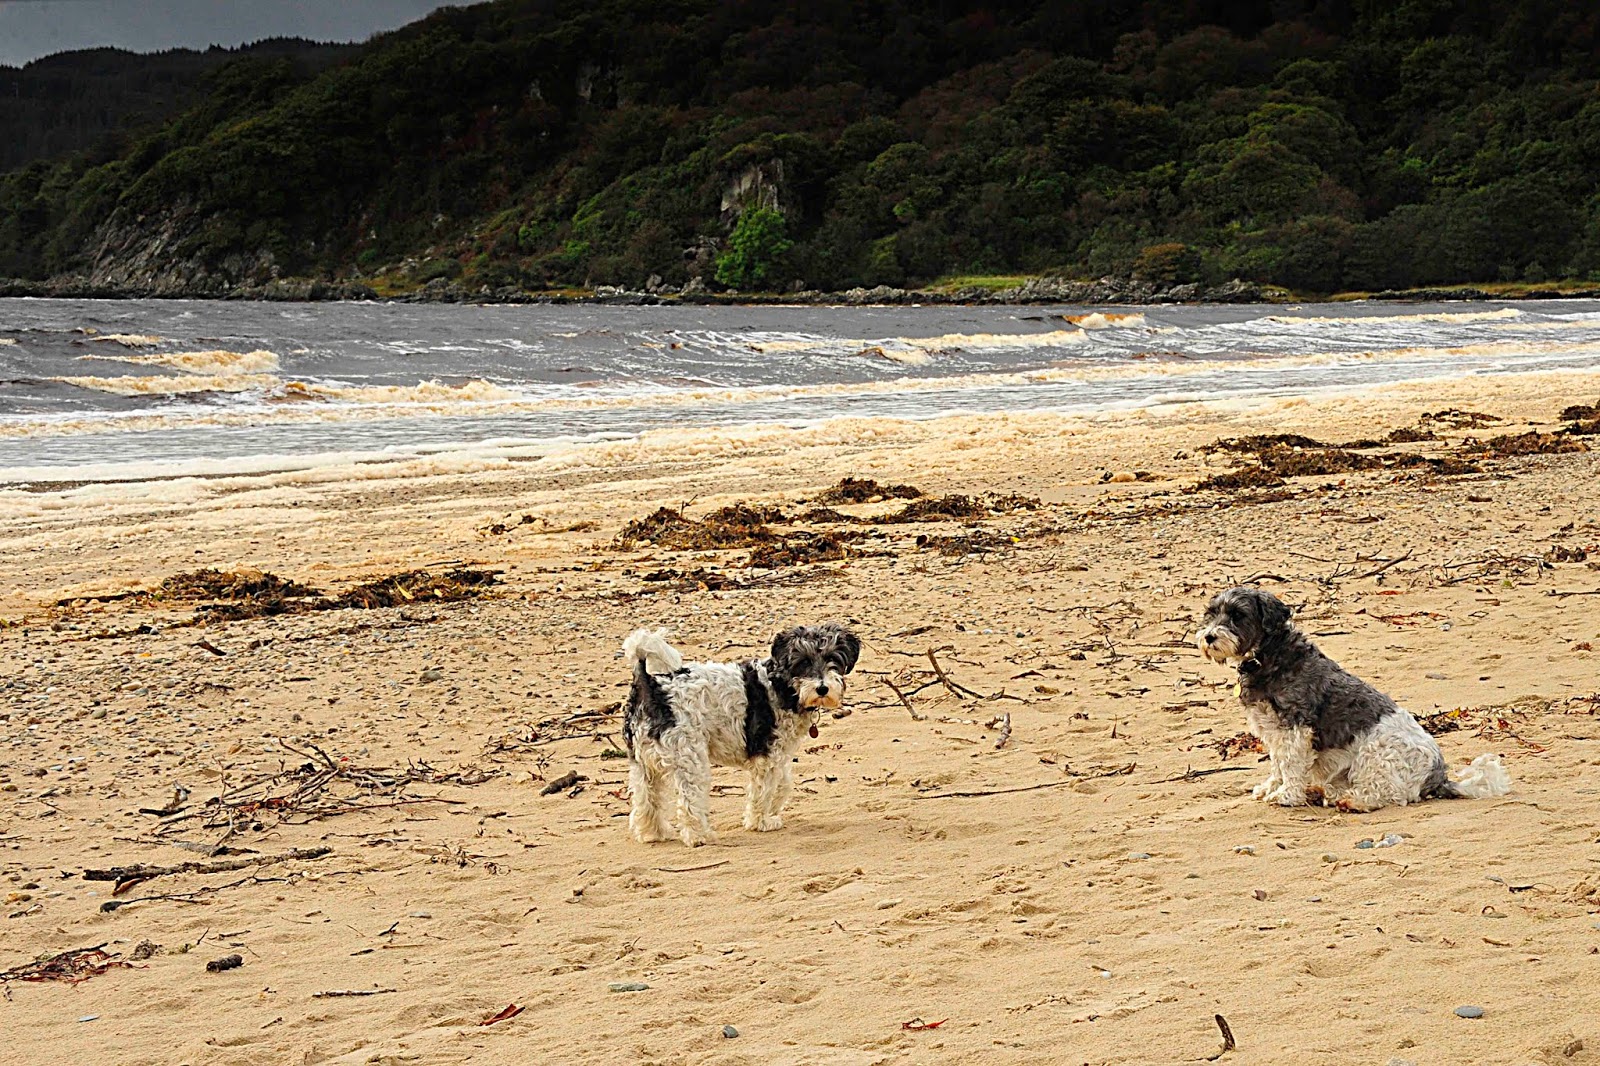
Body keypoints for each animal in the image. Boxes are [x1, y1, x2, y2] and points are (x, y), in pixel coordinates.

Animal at [621, 623, 860, 846]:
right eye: (803, 661)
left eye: (832, 658)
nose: (822, 688)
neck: (783, 686)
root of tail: (650, 687)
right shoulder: (766, 757)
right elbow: (763, 791)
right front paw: (761, 821)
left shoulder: (776, 755)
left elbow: (783, 784)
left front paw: (772, 810)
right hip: (690, 760)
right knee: (689, 802)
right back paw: (699, 836)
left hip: (643, 765)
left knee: (645, 801)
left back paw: (653, 833)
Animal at [1195, 586, 1510, 811]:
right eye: (1211, 613)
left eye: (1238, 615)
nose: (1209, 637)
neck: (1268, 655)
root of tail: (1437, 776)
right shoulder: (1273, 730)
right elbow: (1278, 764)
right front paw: (1273, 786)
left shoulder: (1295, 728)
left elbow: (1290, 764)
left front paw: (1287, 794)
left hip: (1377, 753)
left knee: (1390, 795)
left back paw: (1349, 800)